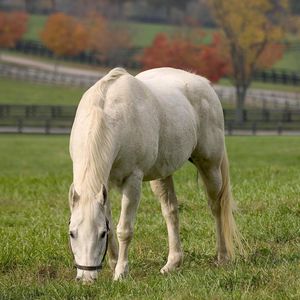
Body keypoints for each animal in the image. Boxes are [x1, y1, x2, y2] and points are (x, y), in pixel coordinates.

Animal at [68, 67, 241, 282]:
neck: (110, 115)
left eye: (100, 234)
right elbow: (112, 223)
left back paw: (222, 257)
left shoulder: (133, 181)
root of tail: (204, 83)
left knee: (217, 207)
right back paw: (172, 263)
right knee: (171, 212)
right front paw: (114, 264)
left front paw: (121, 273)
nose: (86, 278)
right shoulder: (104, 184)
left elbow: (124, 229)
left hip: (210, 166)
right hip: (163, 174)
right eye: (72, 233)